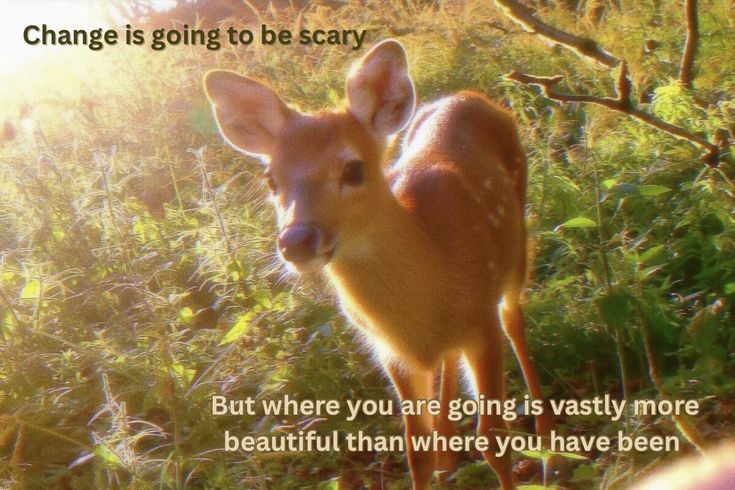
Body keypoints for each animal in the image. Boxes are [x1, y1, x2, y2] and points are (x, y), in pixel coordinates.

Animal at [203, 39, 552, 490]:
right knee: (448, 359)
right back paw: (448, 456)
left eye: (353, 168)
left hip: (516, 247)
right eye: (271, 180)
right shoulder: (389, 351)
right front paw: (436, 458)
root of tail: (470, 96)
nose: (295, 241)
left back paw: (550, 451)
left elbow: (494, 441)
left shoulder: (482, 324)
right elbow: (415, 452)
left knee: (515, 321)